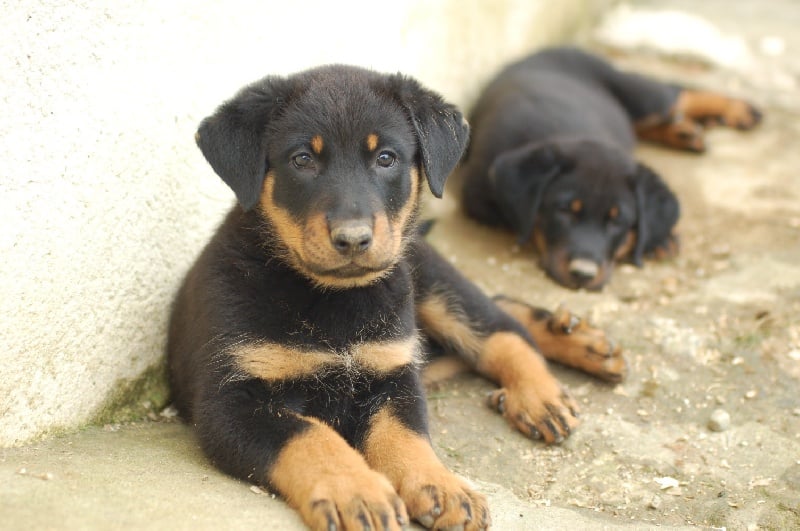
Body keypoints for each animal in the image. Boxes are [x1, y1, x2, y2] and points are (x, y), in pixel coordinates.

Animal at [166, 63, 620, 531]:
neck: (334, 299)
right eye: (302, 159)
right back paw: (571, 338)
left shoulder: (392, 372)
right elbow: (311, 435)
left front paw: (441, 485)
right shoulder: (229, 404)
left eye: (386, 158)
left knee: (498, 325)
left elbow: (405, 435)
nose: (353, 239)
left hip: (428, 281)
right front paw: (356, 492)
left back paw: (546, 385)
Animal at [460, 46, 760, 290]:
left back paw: (738, 110)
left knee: (674, 94)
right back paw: (685, 130)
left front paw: (659, 239)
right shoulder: (479, 197)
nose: (583, 275)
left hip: (640, 95)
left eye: (617, 221)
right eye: (564, 210)